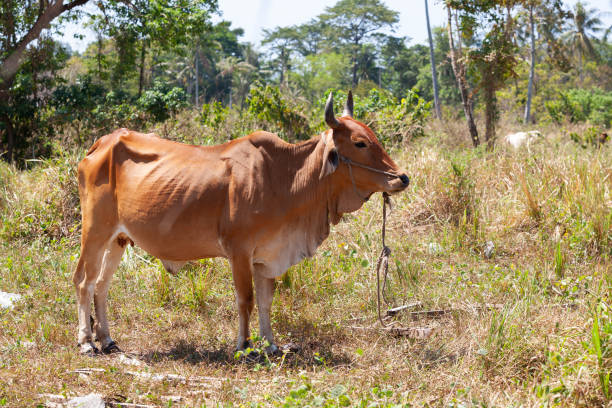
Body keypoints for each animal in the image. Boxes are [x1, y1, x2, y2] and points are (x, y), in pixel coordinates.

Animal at [71, 91, 408, 354]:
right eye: (360, 143)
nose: (402, 178)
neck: (284, 177)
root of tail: (104, 141)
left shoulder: (267, 254)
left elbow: (266, 300)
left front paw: (271, 344)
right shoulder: (239, 251)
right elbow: (245, 299)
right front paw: (244, 346)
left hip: (118, 238)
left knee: (101, 285)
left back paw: (107, 340)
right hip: (94, 231)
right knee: (84, 281)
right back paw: (87, 342)